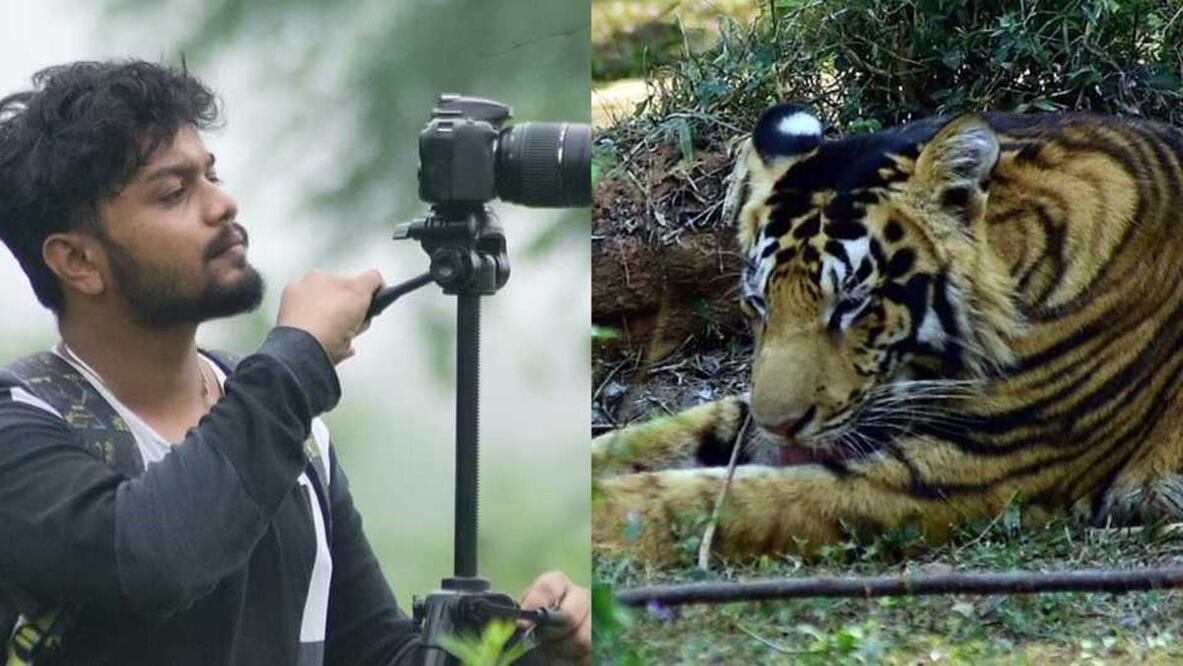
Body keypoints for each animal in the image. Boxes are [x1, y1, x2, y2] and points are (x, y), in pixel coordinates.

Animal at [592, 104, 1183, 565]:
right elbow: (659, 436)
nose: (781, 428)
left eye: (851, 304)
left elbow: (711, 499)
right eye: (760, 302)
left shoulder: (968, 464)